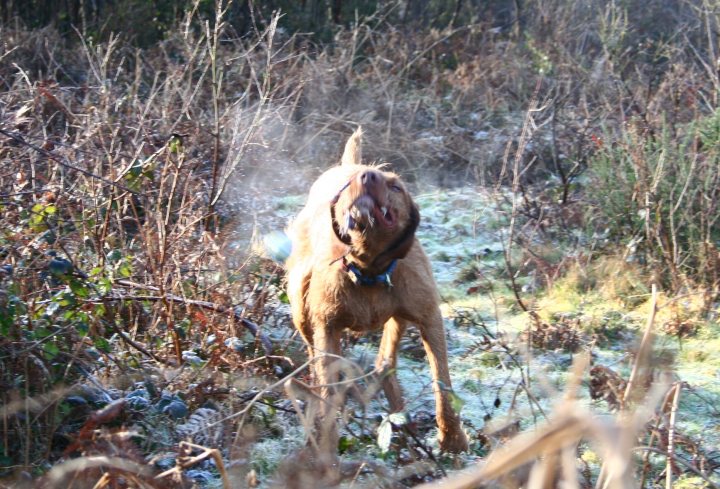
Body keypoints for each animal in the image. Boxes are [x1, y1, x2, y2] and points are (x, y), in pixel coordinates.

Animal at [284, 127, 470, 460]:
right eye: (348, 186)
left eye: (396, 186)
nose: (367, 176)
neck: (368, 270)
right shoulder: (326, 329)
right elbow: (327, 385)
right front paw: (326, 452)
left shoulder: (429, 318)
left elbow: (442, 383)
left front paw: (452, 440)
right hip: (301, 312)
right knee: (318, 365)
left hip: (399, 316)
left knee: (384, 361)